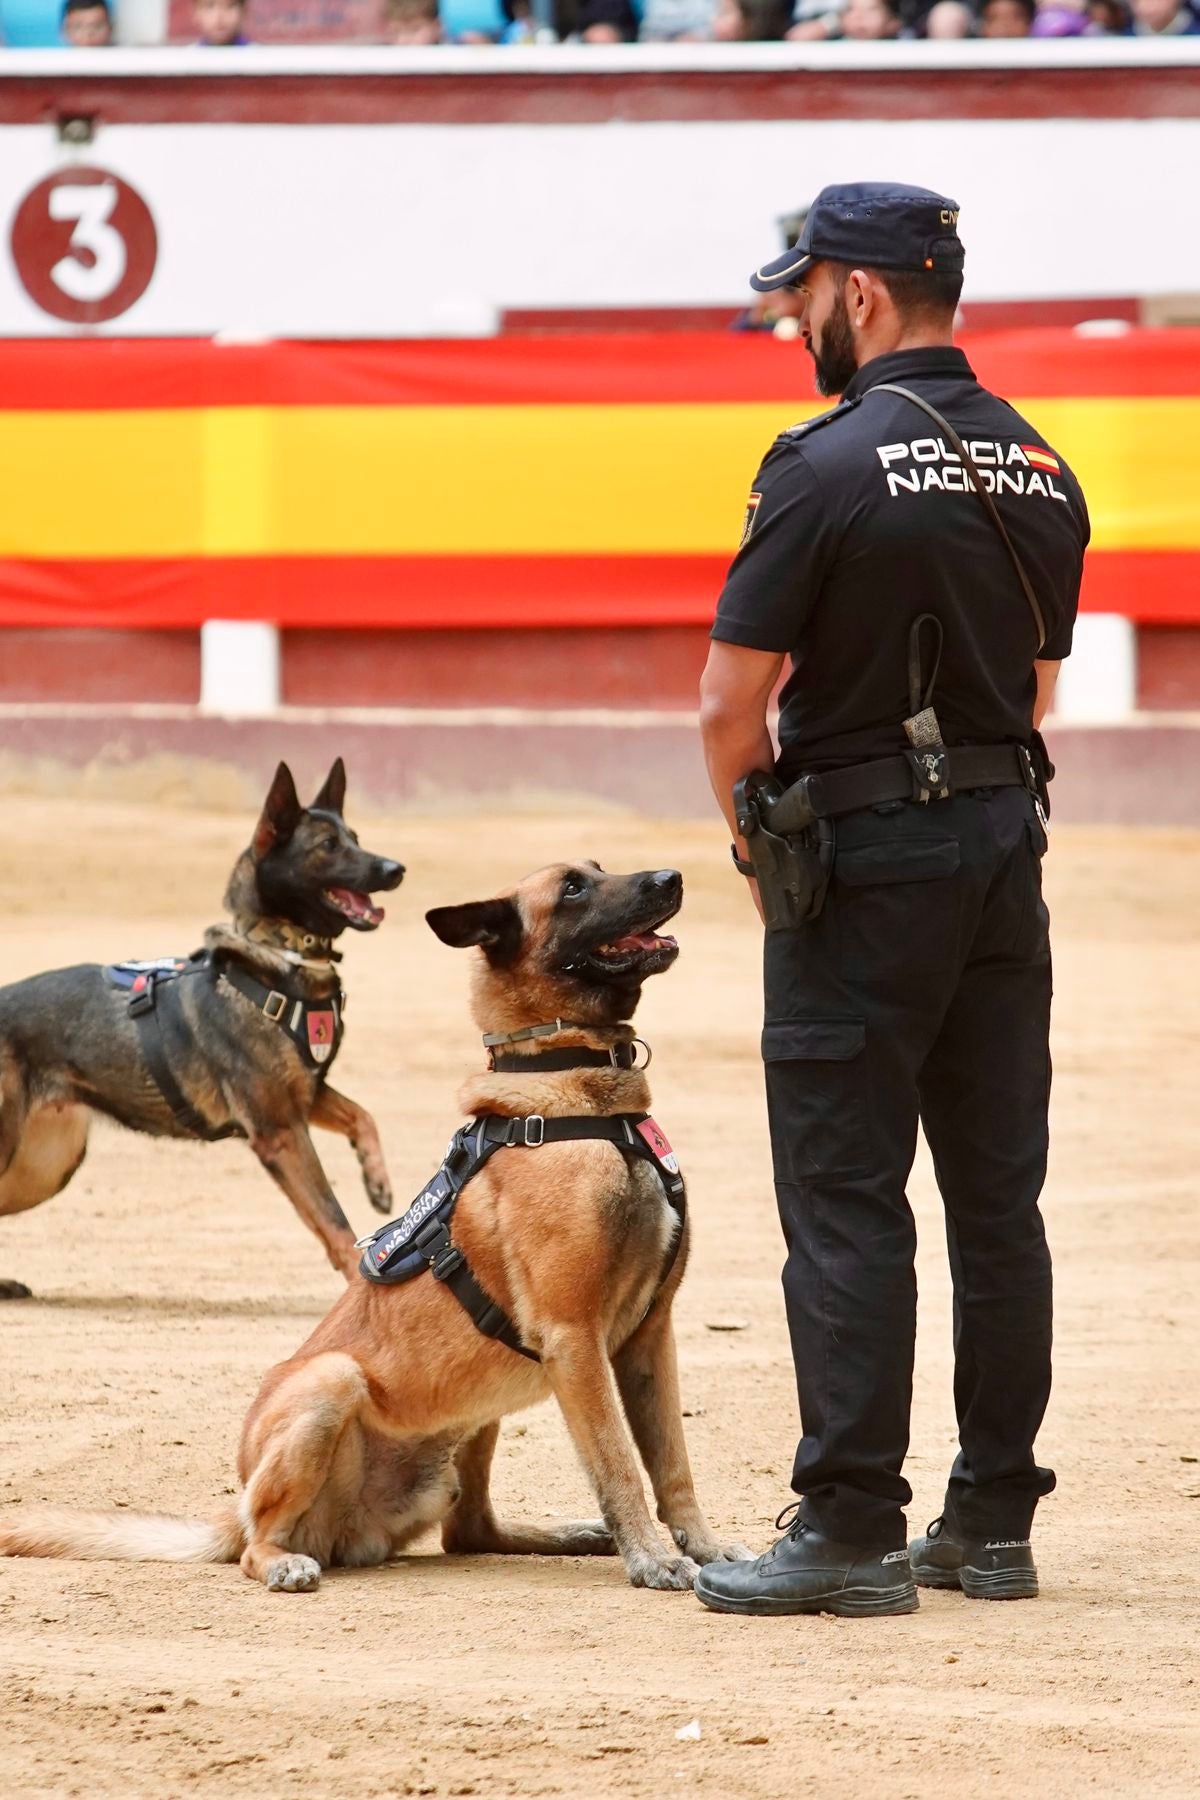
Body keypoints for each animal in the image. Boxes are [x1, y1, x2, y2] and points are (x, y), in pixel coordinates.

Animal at [0, 759, 402, 1296]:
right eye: (327, 846)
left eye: (355, 837)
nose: (395, 869)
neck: (280, 956)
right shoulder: (279, 1131)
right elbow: (335, 1222)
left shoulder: (305, 1095)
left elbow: (363, 1116)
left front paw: (376, 1181)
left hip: (43, 1167)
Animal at [0, 864, 744, 1598]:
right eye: (573, 889)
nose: (670, 876)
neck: (570, 1090)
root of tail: (238, 1513)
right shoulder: (575, 1339)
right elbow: (619, 1463)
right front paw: (651, 1557)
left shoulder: (650, 1336)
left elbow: (672, 1465)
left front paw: (703, 1549)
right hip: (331, 1382)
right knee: (257, 1547)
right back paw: (282, 1562)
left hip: (478, 1418)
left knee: (470, 1530)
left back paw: (563, 1535)